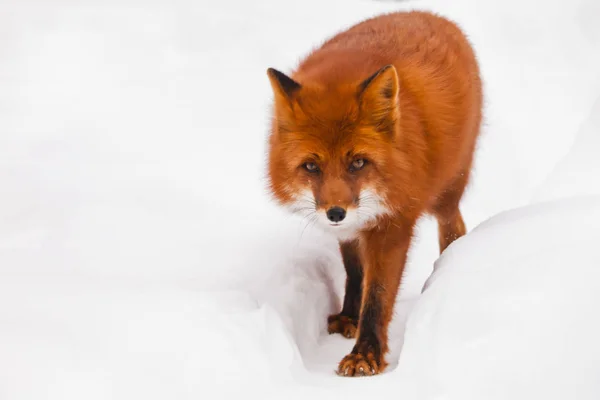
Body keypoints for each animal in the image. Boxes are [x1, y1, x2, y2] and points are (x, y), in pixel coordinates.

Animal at [264, 10, 480, 376]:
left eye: (358, 162)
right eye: (311, 166)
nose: (335, 213)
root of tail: (431, 15)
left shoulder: (393, 224)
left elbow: (378, 295)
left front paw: (366, 354)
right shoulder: (353, 228)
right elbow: (355, 273)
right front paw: (350, 315)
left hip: (448, 190)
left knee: (454, 226)